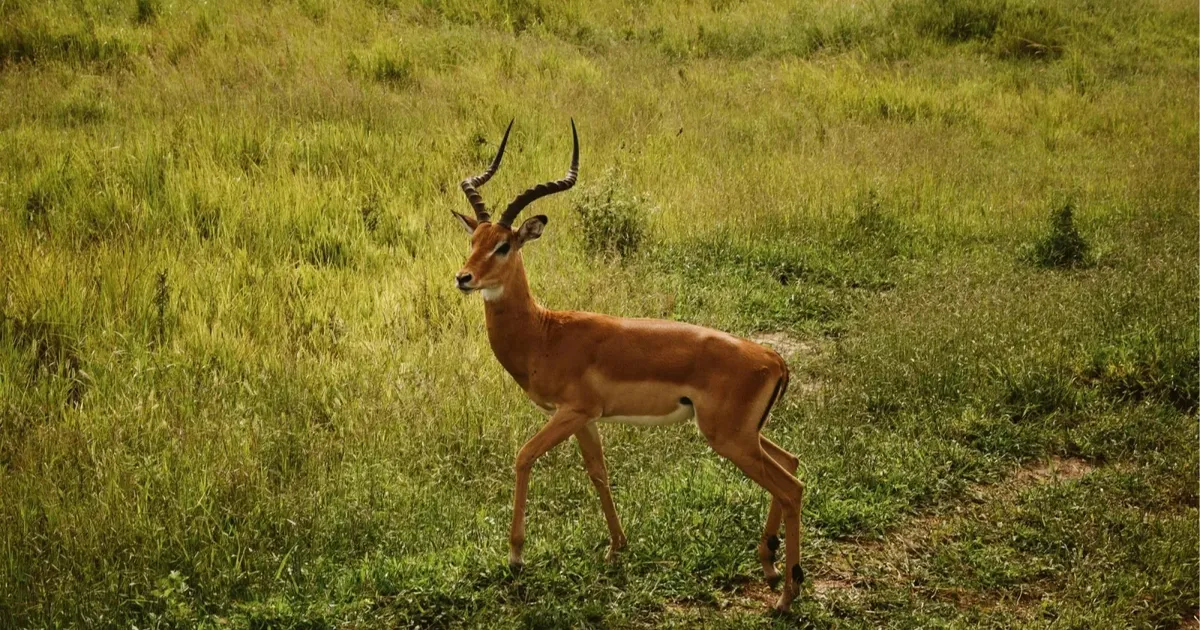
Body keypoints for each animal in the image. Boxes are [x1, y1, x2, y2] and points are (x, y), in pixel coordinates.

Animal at [450, 120, 806, 612]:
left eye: (503, 245)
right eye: (473, 241)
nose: (463, 278)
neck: (544, 334)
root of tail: (774, 359)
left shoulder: (570, 412)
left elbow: (523, 457)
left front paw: (516, 557)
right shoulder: (585, 419)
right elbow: (599, 472)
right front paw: (617, 546)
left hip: (729, 439)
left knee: (791, 488)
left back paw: (786, 596)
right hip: (744, 435)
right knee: (791, 463)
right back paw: (770, 567)